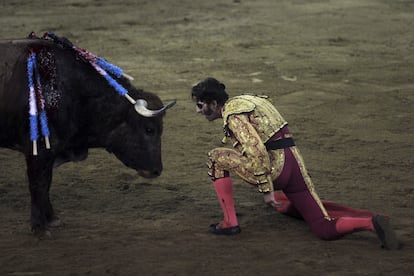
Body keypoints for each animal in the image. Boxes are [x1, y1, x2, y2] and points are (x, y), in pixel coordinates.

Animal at [0, 37, 175, 234]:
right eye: (149, 130)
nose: (156, 171)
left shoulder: (51, 153)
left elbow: (46, 184)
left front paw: (52, 219)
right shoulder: (38, 151)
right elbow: (38, 184)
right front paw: (39, 228)